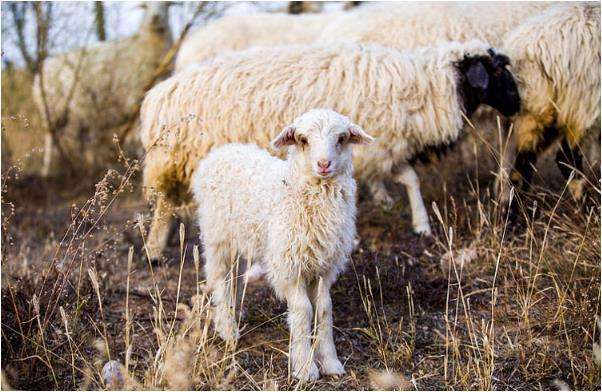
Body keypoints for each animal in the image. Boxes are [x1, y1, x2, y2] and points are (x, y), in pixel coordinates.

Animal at [33, 1, 171, 173]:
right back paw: (50, 168)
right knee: (52, 137)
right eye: (145, 6)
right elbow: (137, 130)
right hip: (55, 109)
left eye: (166, 5)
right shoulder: (132, 96)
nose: (155, 18)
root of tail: (41, 70)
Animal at [138, 39, 516, 262]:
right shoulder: (375, 150)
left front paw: (410, 218)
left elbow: (406, 180)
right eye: (496, 70)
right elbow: (405, 180)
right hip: (179, 158)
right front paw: (413, 224)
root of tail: (159, 95)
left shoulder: (374, 150)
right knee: (164, 205)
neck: (426, 86)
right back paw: (154, 250)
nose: (517, 102)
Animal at [192, 108, 370, 382]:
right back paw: (227, 328)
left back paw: (234, 313)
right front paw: (305, 367)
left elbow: (324, 309)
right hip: (218, 236)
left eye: (341, 138)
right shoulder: (289, 265)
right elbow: (303, 310)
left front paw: (330, 362)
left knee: (233, 277)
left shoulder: (324, 267)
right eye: (303, 140)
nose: (324, 164)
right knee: (220, 277)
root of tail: (222, 151)